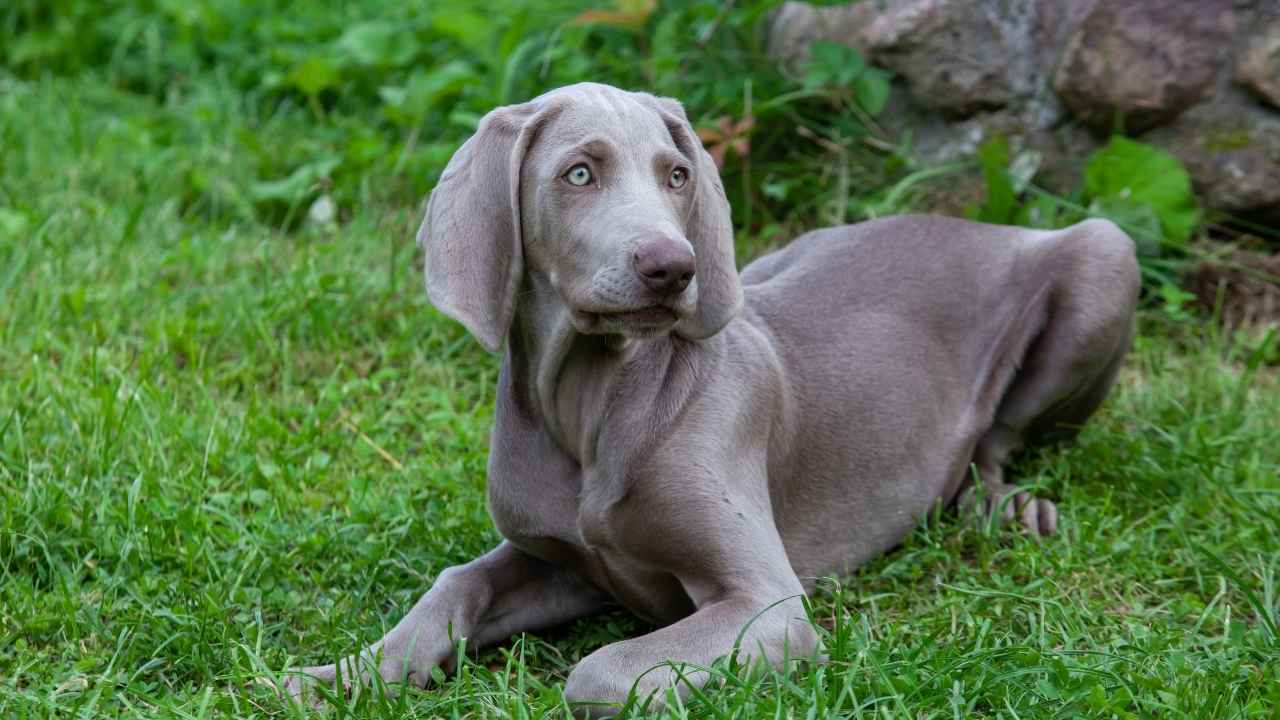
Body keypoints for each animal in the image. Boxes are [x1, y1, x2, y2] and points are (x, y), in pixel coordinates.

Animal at [282, 82, 1141, 712]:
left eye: (677, 174)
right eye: (578, 173)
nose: (673, 267)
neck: (595, 403)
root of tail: (978, 224)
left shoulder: (767, 606)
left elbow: (597, 673)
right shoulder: (562, 560)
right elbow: (456, 583)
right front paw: (342, 677)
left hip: (1106, 252)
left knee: (993, 444)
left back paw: (1010, 509)